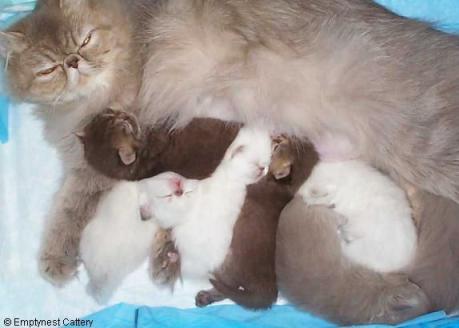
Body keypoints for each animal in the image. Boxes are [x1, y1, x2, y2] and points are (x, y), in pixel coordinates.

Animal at [276, 197, 432, 326]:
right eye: (414, 287)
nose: (414, 283)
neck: (379, 295)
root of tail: (291, 203)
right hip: (328, 217)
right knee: (337, 216)